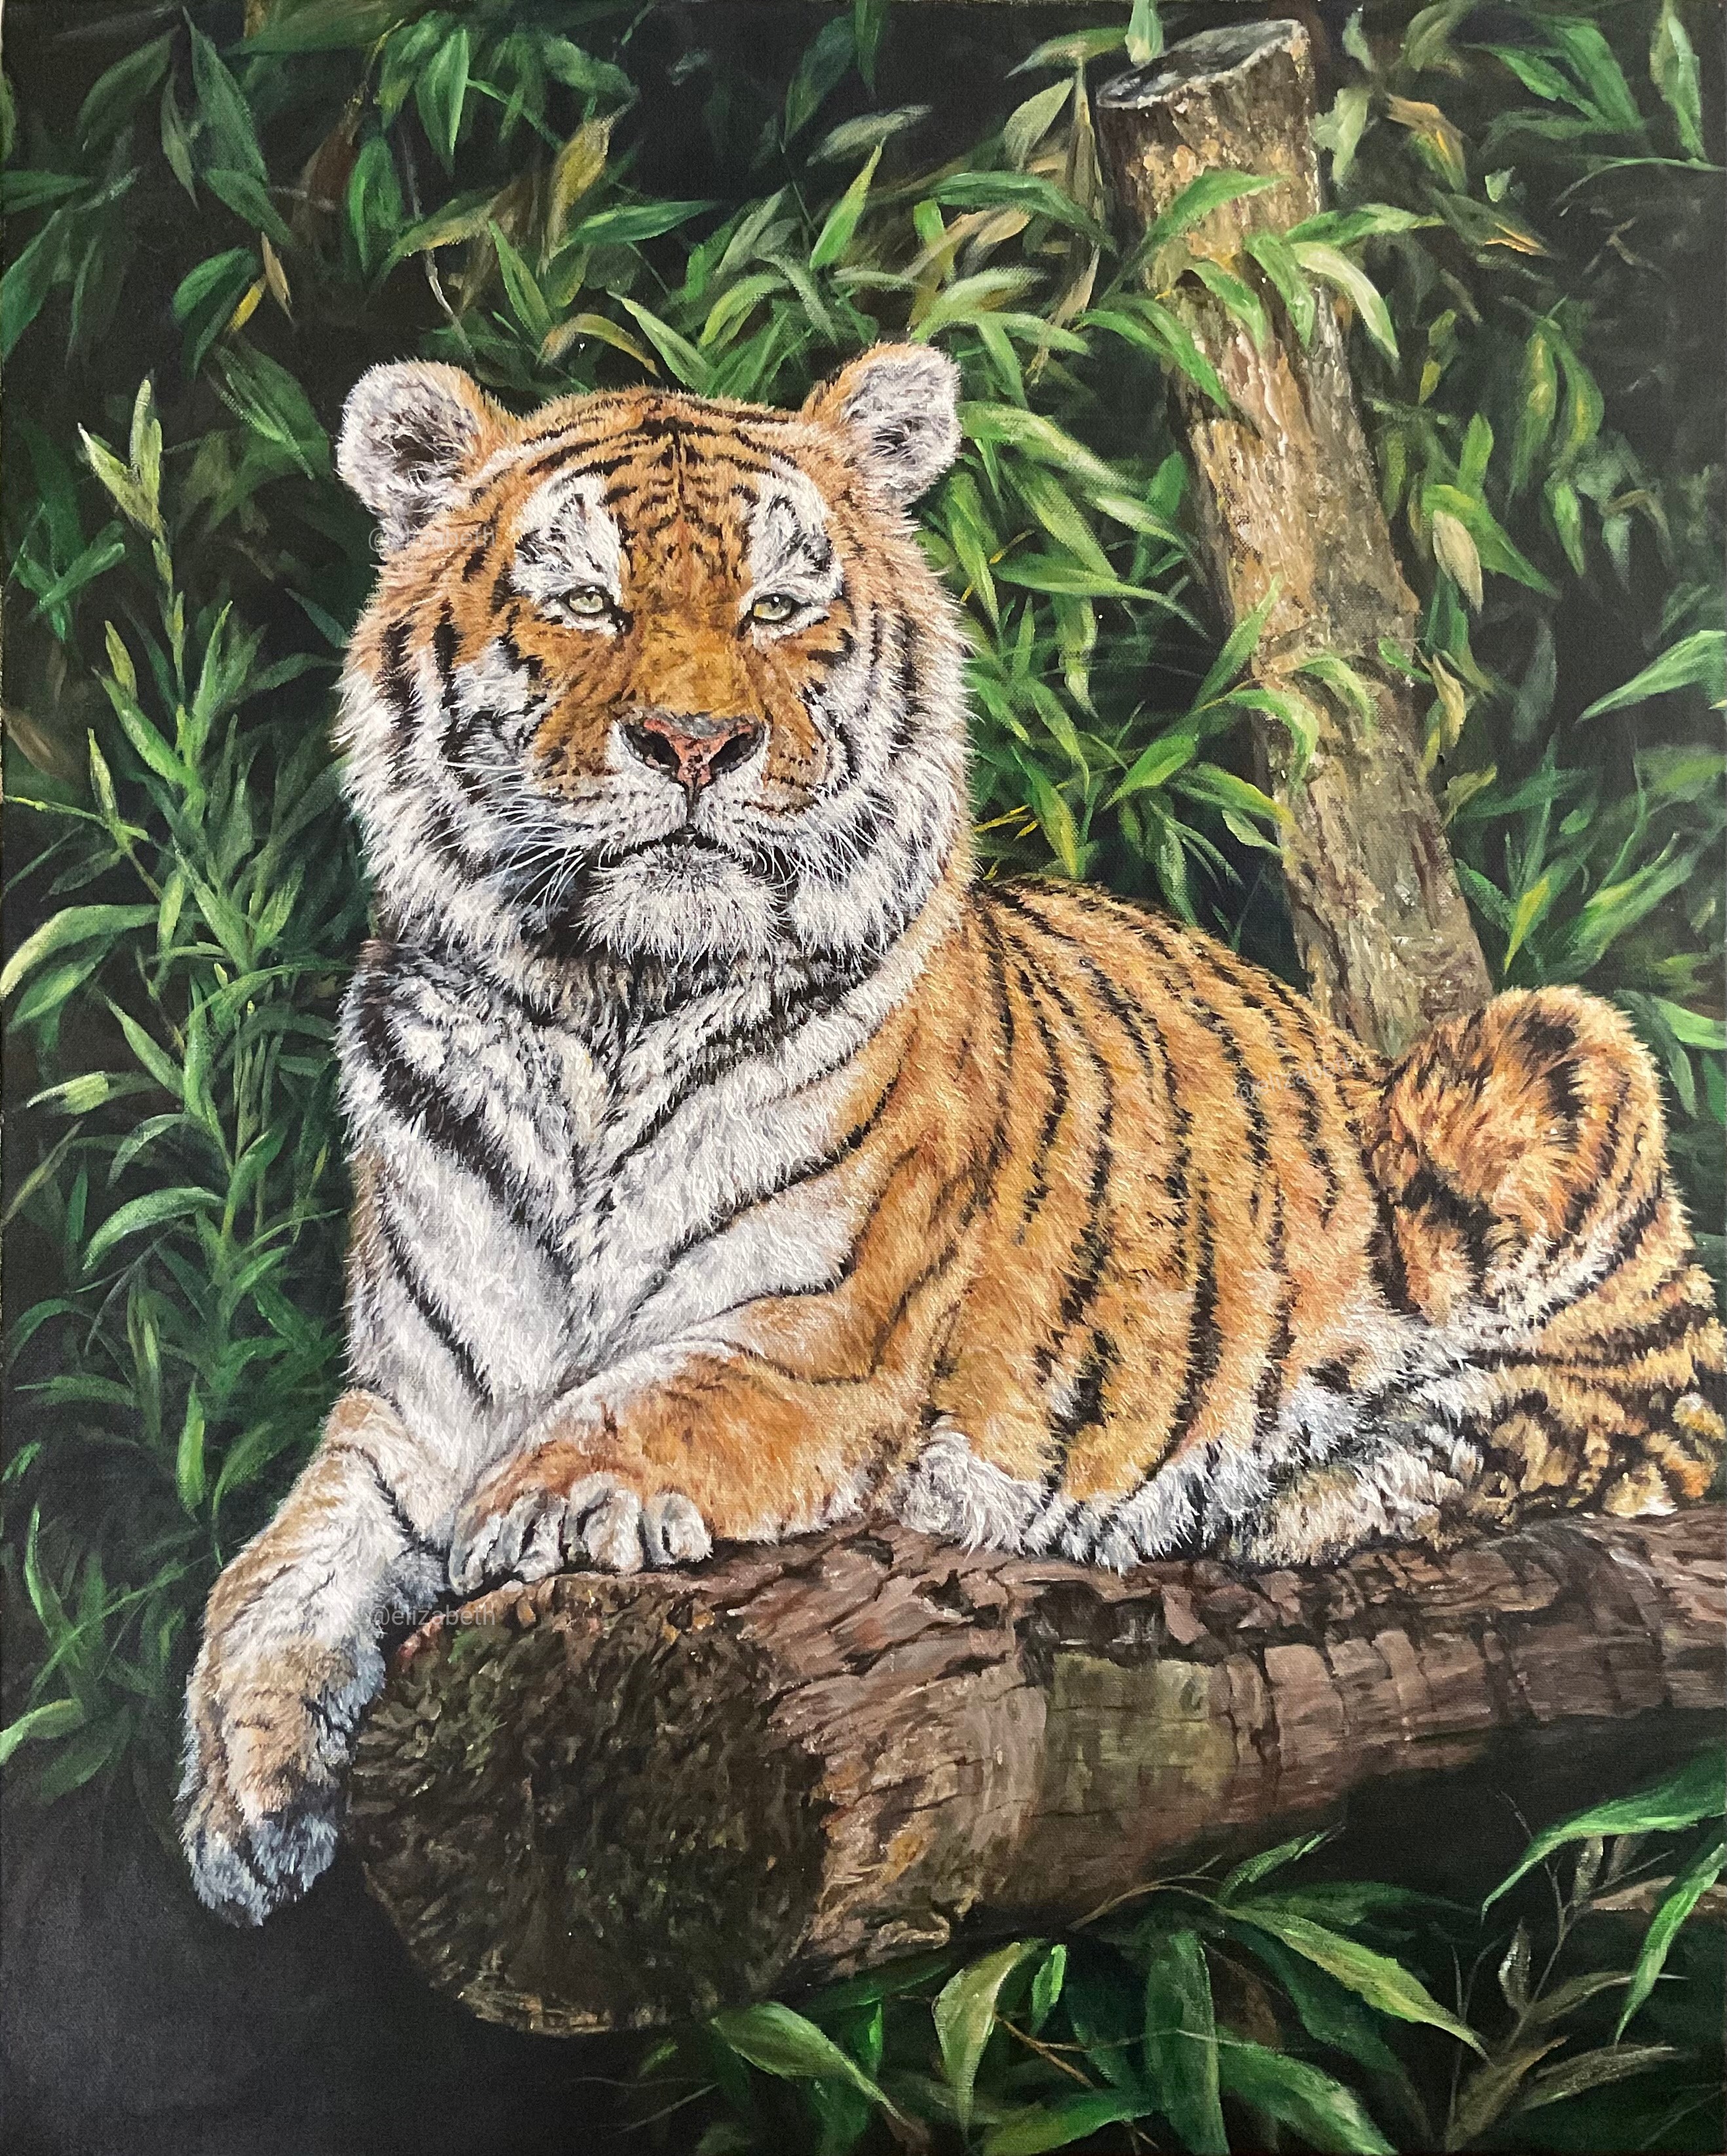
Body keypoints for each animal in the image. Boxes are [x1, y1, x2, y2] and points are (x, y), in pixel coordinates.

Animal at [178, 343, 1724, 1925]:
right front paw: (242, 1804)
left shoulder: (815, 1339)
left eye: (776, 607)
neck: (610, 1010)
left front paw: (542, 1505)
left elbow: (641, 1399)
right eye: (587, 601)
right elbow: (273, 1570)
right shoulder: (412, 1401)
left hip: (1554, 1053)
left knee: (1623, 1431)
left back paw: (1293, 1494)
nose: (695, 744)